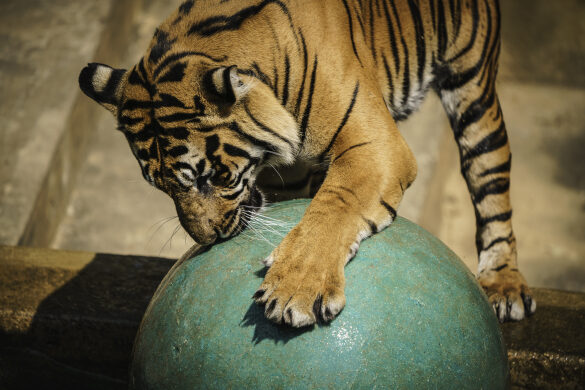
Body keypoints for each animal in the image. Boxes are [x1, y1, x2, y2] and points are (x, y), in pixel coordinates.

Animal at [78, 0, 532, 328]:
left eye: (212, 177)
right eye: (162, 187)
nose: (208, 239)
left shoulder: (376, 146)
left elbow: (333, 208)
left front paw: (293, 291)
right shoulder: (293, 176)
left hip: (473, 90)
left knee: (492, 186)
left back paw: (504, 285)